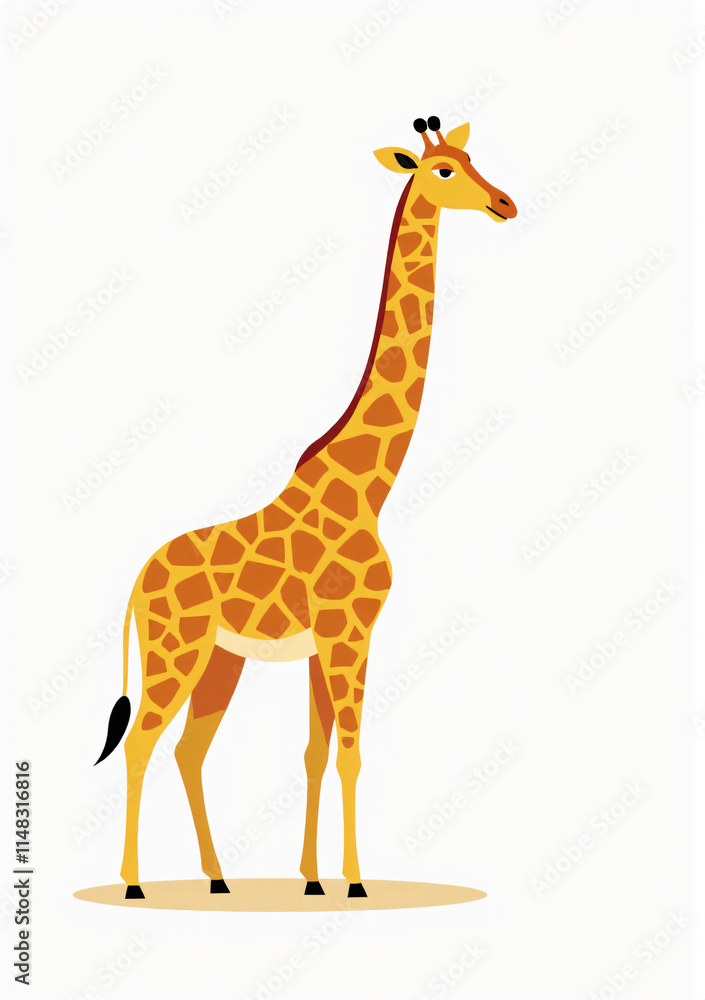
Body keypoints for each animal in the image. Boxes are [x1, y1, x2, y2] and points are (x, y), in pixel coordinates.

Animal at [95, 115, 517, 901]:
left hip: (220, 660)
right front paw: (354, 882)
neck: (367, 489)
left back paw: (219, 879)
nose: (504, 203)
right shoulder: (350, 632)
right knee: (142, 743)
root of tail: (137, 581)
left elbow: (316, 753)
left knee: (189, 749)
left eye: (472, 155)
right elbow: (349, 751)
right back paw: (135, 883)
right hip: (177, 651)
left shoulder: (328, 642)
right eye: (444, 170)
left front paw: (314, 879)